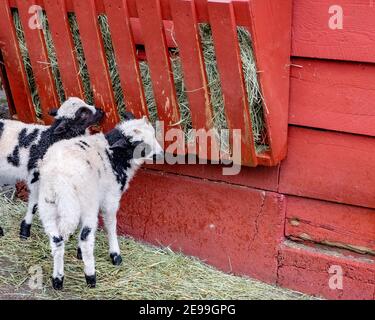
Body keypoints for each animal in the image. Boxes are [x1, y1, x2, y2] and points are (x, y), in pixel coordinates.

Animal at [0, 96, 104, 239]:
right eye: (83, 113)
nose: (101, 111)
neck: (52, 139)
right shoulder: (37, 178)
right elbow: (34, 204)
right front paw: (25, 230)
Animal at [37, 114, 164, 288]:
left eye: (153, 134)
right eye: (140, 146)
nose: (161, 154)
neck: (113, 156)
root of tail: (59, 179)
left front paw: (78, 253)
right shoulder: (110, 198)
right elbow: (111, 225)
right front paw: (115, 255)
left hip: (48, 206)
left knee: (56, 240)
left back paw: (58, 279)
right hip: (84, 203)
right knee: (85, 238)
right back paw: (91, 276)